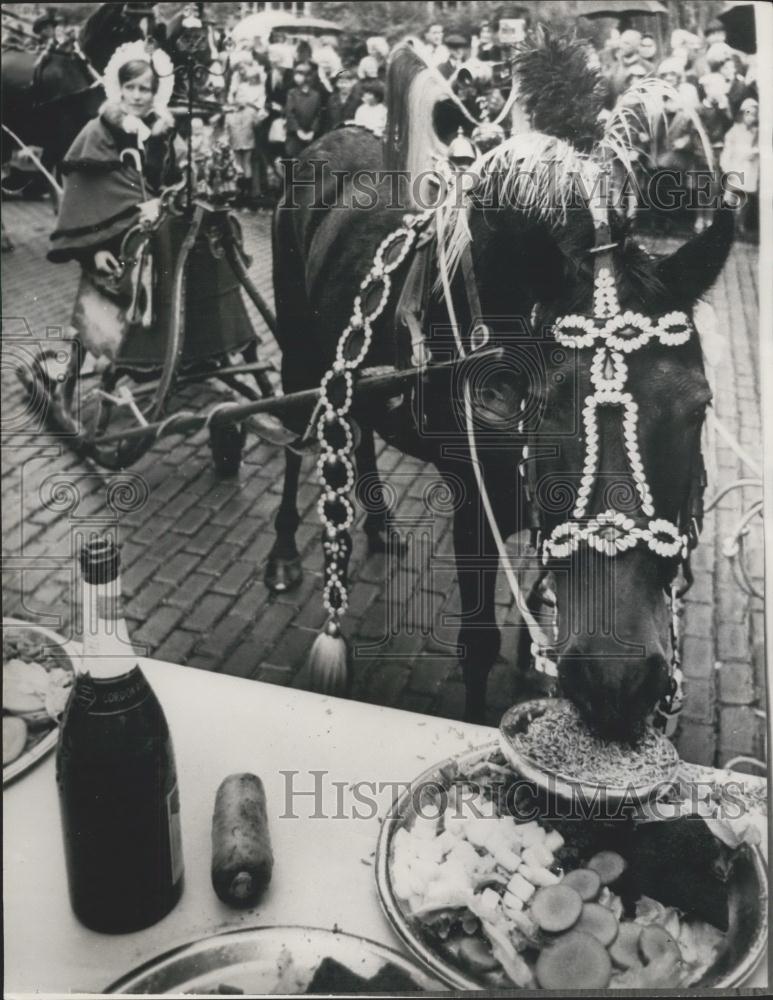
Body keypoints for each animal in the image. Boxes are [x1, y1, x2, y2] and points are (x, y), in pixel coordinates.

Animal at [264, 45, 728, 744]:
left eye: (698, 407)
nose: (617, 680)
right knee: (299, 435)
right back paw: (285, 550)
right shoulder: (471, 502)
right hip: (297, 346)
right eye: (546, 405)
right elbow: (477, 644)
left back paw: (378, 524)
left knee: (358, 420)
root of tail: (331, 133)